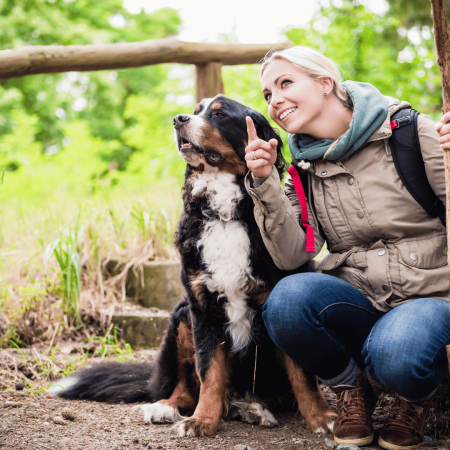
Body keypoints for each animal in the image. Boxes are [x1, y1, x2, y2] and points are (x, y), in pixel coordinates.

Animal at [56, 95, 336, 436]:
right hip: (181, 316)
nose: (179, 119)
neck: (225, 215)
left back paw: (254, 408)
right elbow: (209, 372)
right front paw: (203, 420)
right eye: (195, 110)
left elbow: (303, 375)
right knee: (185, 387)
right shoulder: (202, 307)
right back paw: (166, 406)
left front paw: (322, 417)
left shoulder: (276, 301)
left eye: (219, 114)